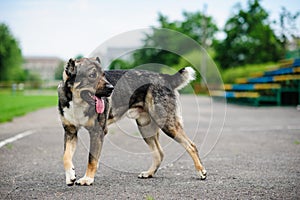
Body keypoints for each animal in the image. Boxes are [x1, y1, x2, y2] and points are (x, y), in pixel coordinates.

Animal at [57, 57, 206, 185]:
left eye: (104, 74)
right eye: (92, 75)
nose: (111, 88)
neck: (77, 103)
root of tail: (165, 77)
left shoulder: (97, 132)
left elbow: (91, 159)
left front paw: (87, 179)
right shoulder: (70, 132)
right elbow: (65, 156)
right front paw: (70, 175)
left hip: (167, 125)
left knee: (191, 146)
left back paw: (201, 172)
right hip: (145, 128)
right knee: (160, 153)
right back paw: (149, 173)